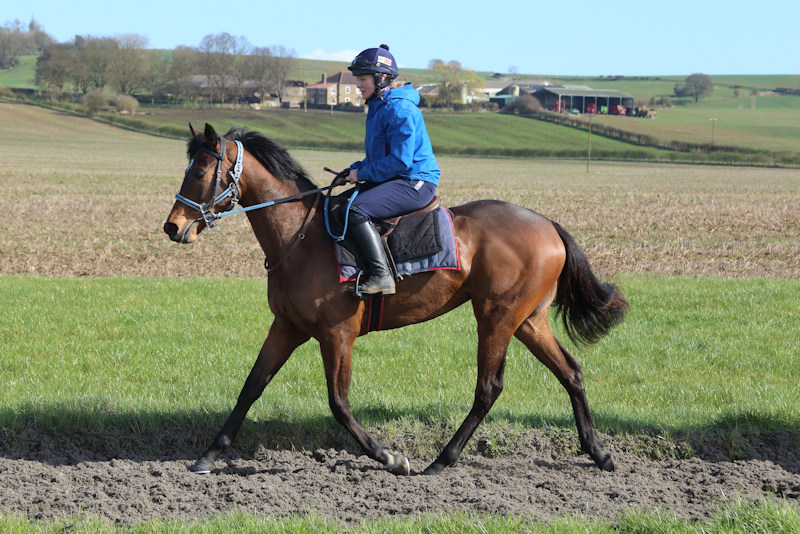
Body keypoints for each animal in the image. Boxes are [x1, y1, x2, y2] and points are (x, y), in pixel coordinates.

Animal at [164, 123, 628, 476]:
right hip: (528, 320)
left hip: (497, 317)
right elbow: (251, 387)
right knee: (570, 371)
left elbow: (339, 403)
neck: (300, 236)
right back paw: (598, 452)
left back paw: (442, 460)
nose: (173, 227)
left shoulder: (337, 335)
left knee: (488, 388)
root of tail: (548, 224)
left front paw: (388, 456)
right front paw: (208, 456)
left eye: (201, 171)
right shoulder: (287, 327)